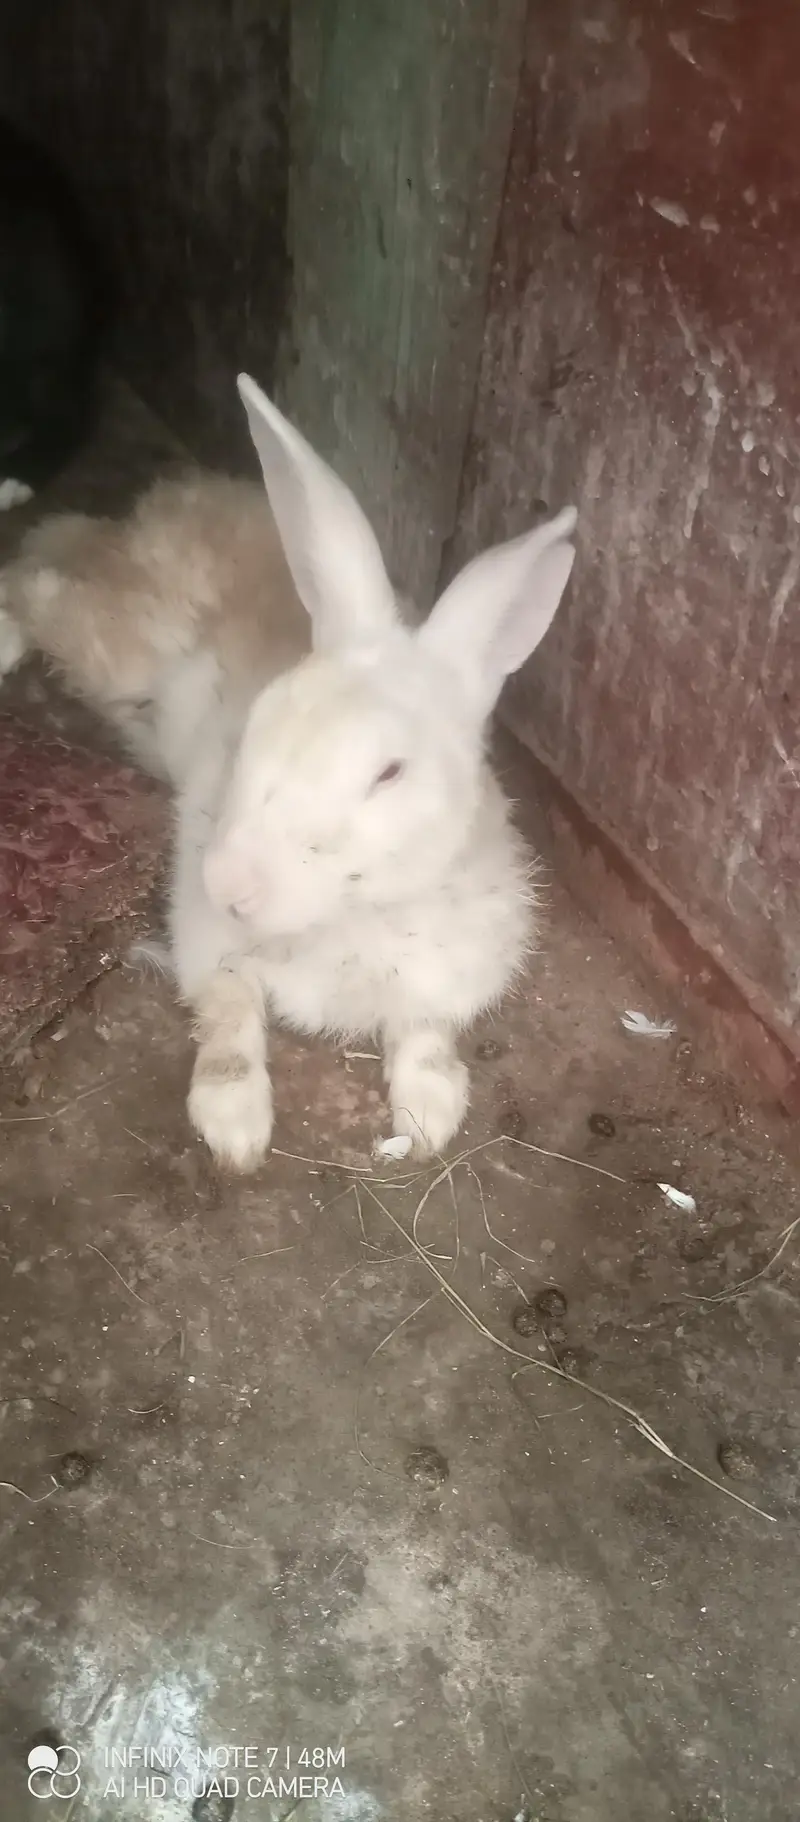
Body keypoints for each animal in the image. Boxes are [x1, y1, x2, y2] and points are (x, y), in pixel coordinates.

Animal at [0, 372, 577, 1169]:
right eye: (260, 720)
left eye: (389, 772)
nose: (228, 883)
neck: (352, 916)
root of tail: (183, 499)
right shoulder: (209, 948)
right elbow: (230, 1022)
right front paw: (234, 1130)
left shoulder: (442, 980)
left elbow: (426, 1036)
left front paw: (430, 1115)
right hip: (115, 651)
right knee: (42, 566)